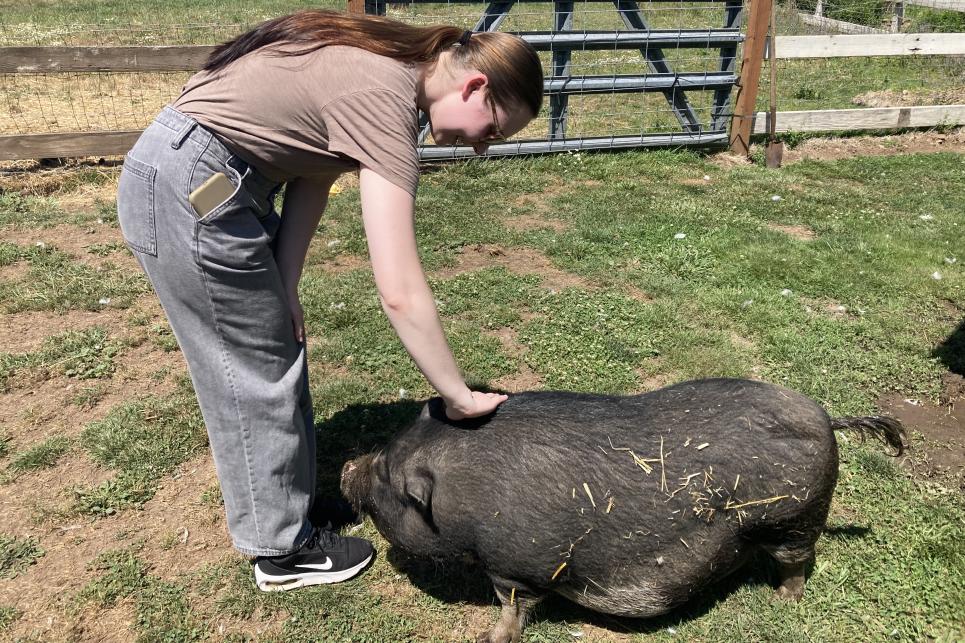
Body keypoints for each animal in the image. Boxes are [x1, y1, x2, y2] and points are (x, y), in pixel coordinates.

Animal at [340, 378, 904, 643]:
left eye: (387, 474)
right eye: (386, 453)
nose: (349, 468)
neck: (462, 498)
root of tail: (828, 418)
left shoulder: (513, 567)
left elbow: (512, 607)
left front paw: (488, 637)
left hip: (795, 519)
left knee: (796, 563)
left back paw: (782, 602)